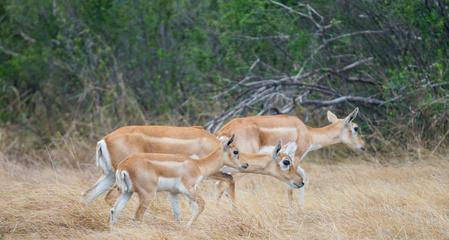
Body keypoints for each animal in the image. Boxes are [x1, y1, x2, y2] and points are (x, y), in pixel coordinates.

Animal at [215, 107, 366, 206]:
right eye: (356, 128)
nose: (363, 146)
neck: (308, 133)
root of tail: (223, 131)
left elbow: (304, 177)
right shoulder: (296, 158)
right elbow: (292, 185)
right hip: (240, 167)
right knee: (222, 185)